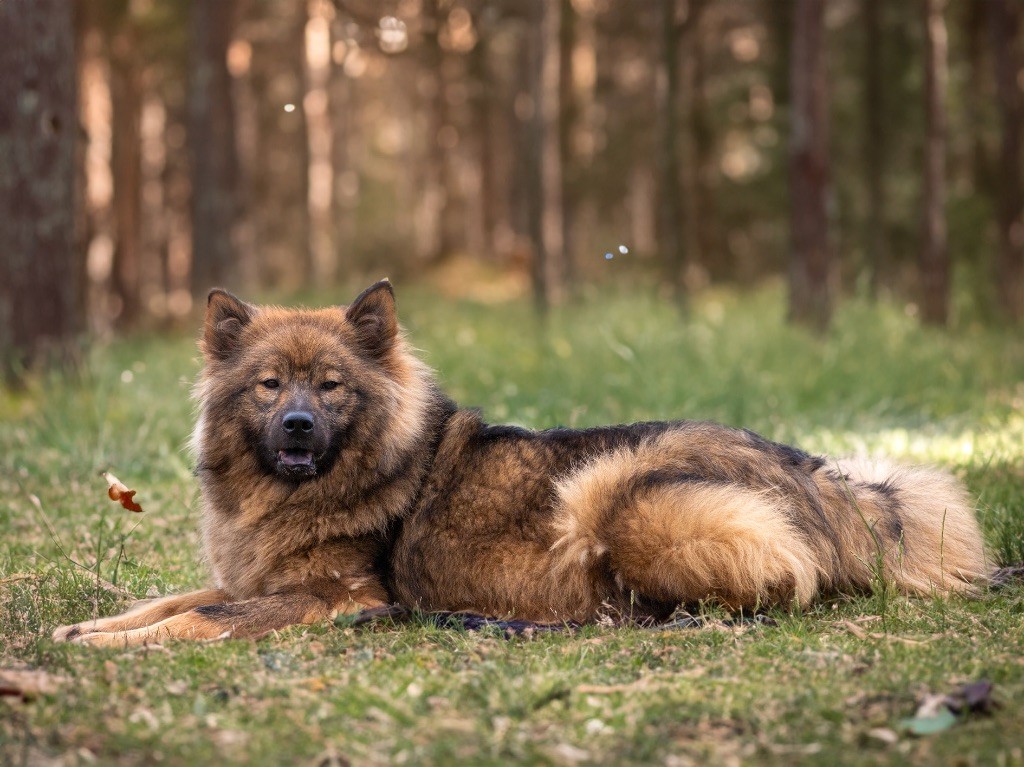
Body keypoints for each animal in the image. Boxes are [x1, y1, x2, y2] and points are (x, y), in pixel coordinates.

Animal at [51, 280, 987, 647]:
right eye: (269, 384)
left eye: (331, 385)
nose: (297, 426)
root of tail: (822, 479)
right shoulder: (253, 575)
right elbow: (173, 598)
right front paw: (88, 630)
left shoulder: (332, 594)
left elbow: (203, 617)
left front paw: (124, 647)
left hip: (610, 491)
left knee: (750, 582)